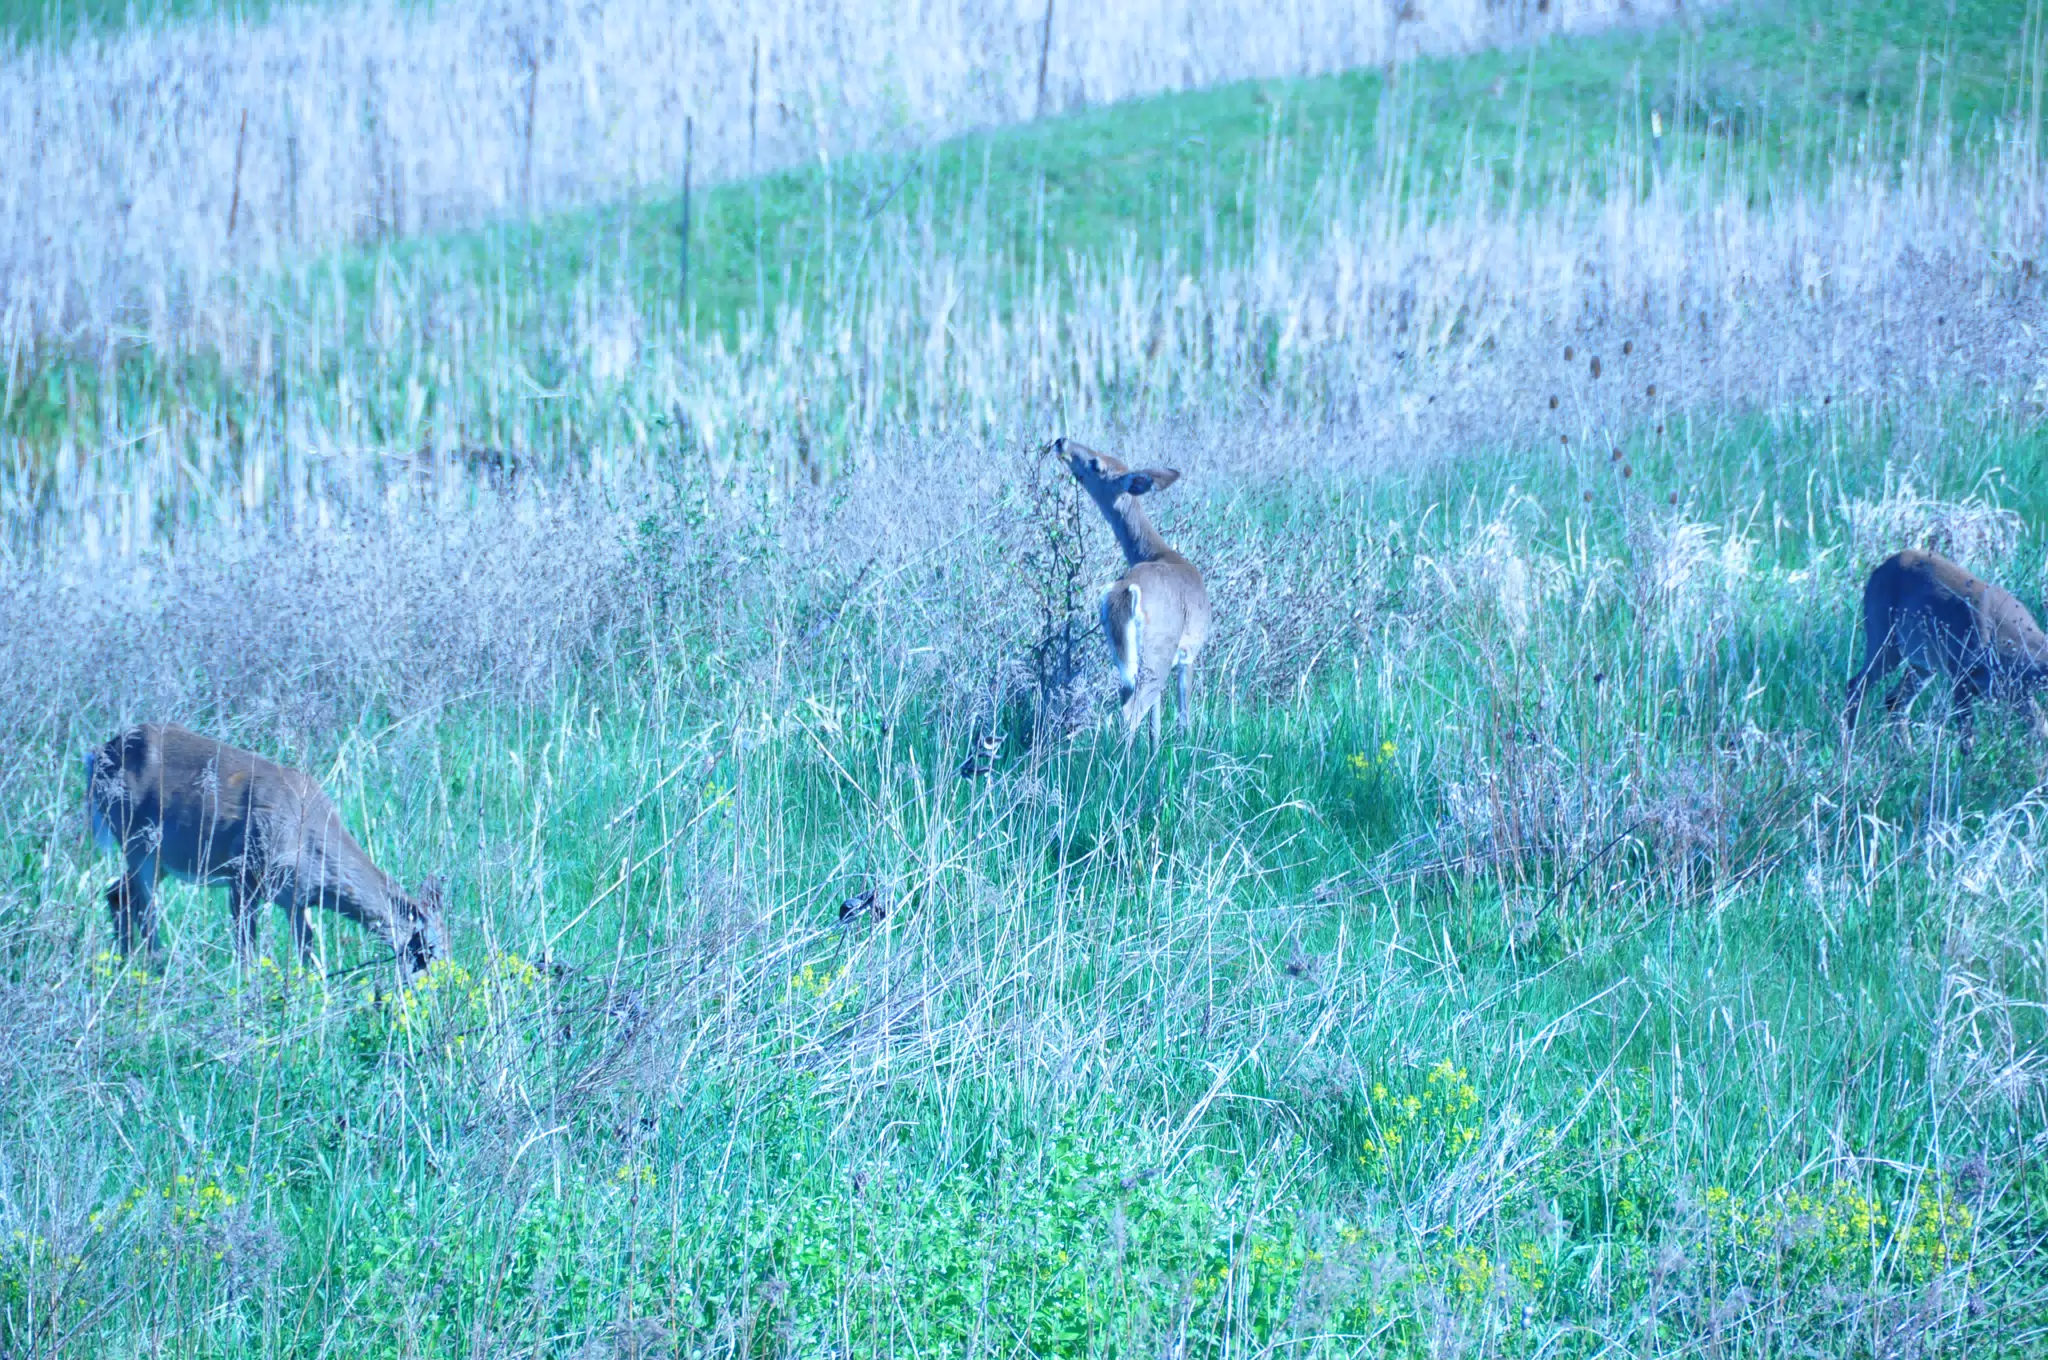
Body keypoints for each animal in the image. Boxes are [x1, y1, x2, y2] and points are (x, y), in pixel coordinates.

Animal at [85, 723, 446, 979]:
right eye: (428, 948)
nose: (434, 983)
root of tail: (97, 755)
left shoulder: (295, 897)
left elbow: (306, 947)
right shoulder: (244, 875)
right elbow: (247, 948)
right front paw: (248, 990)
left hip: (154, 856)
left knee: (117, 893)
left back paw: (126, 964)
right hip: (139, 843)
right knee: (142, 906)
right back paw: (157, 968)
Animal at [1054, 437, 1211, 738]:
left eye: (1097, 463)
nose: (1061, 441)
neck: (1156, 552)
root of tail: (1126, 590)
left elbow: (1155, 726)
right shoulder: (1189, 652)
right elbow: (1184, 716)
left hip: (1130, 652)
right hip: (1160, 645)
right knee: (1130, 711)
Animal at [1844, 549, 2048, 739]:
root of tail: (1878, 569)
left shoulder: (2015, 691)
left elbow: (2039, 726)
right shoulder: (1960, 675)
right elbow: (1967, 735)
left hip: (1923, 663)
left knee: (1896, 701)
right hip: (1884, 639)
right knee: (1856, 686)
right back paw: (1852, 741)